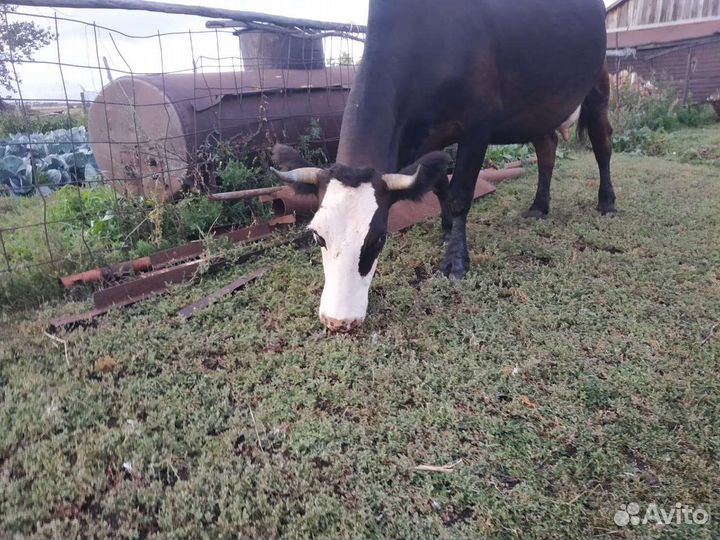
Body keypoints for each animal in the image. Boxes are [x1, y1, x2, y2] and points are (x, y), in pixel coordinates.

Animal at [272, 0, 616, 332]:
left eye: (379, 237)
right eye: (317, 236)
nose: (338, 321)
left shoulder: (479, 124)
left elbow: (459, 195)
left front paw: (455, 260)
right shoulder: (426, 137)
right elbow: (438, 182)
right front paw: (448, 230)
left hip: (598, 84)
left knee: (602, 144)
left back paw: (607, 201)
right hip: (538, 108)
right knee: (547, 147)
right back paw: (539, 205)